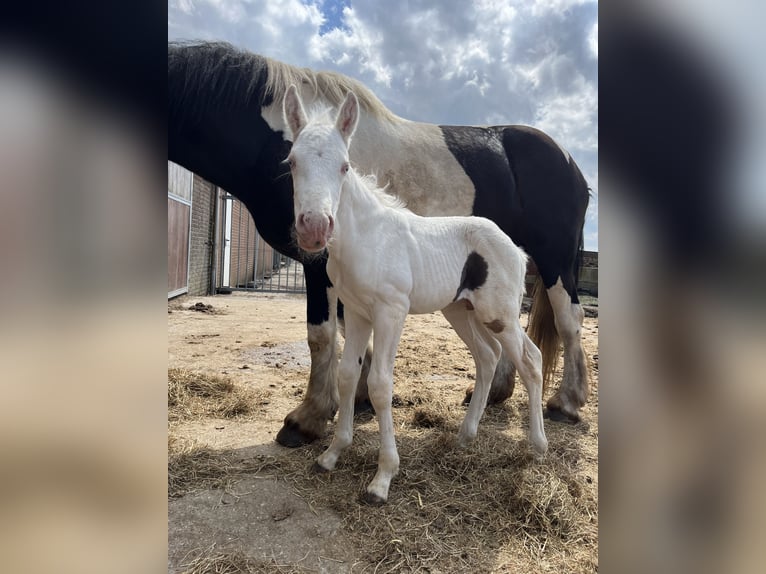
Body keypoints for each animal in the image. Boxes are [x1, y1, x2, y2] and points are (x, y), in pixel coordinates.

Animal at [170, 42, 592, 448]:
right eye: (290, 162)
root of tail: (571, 164)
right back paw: (495, 394)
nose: (314, 225)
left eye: (344, 166)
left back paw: (566, 403)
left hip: (555, 261)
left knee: (569, 320)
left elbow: (321, 335)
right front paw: (354, 401)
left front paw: (307, 419)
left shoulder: (317, 263)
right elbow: (349, 336)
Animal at [284, 85, 548, 504]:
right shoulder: (356, 312)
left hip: (499, 313)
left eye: (344, 166)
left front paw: (382, 479)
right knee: (488, 356)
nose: (314, 228)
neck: (366, 237)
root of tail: (516, 249)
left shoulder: (391, 312)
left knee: (531, 360)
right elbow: (347, 375)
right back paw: (465, 436)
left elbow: (379, 384)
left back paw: (538, 446)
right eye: (292, 162)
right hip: (461, 310)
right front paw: (331, 455)